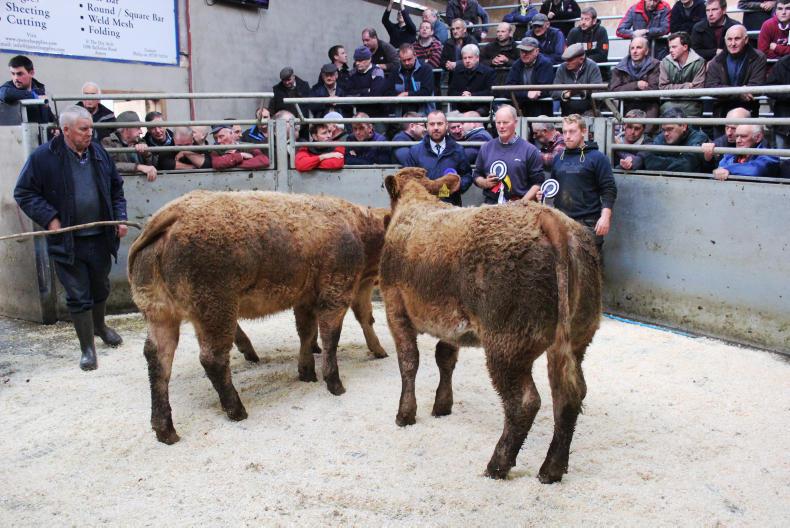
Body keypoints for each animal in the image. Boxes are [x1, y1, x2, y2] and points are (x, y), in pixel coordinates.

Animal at [128, 190, 387, 444]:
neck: (359, 230)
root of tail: (168, 216)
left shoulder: (304, 297)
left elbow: (306, 332)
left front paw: (306, 374)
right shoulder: (337, 289)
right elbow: (331, 336)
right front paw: (336, 385)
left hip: (157, 309)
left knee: (157, 357)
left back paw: (166, 432)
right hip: (215, 305)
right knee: (212, 358)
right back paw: (238, 411)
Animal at [380, 168, 602, 483]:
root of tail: (550, 218)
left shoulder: (395, 306)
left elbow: (409, 361)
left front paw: (405, 414)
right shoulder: (451, 322)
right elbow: (445, 358)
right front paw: (442, 405)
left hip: (506, 343)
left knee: (524, 402)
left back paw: (497, 465)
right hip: (576, 338)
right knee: (569, 396)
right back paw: (551, 469)